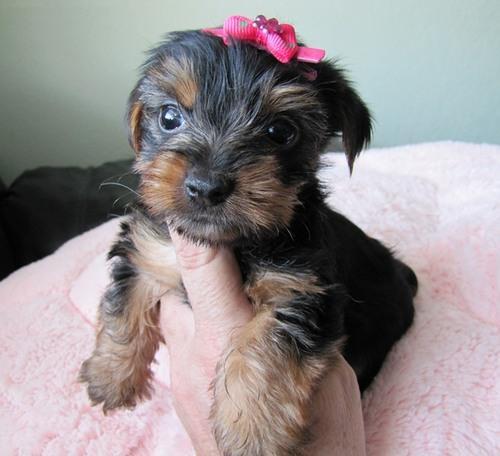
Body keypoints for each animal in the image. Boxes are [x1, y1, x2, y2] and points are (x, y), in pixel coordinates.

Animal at [82, 17, 416, 456]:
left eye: (280, 131)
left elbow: (267, 346)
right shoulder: (151, 248)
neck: (234, 242)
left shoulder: (299, 288)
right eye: (169, 118)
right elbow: (124, 300)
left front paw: (253, 431)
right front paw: (110, 375)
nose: (205, 186)